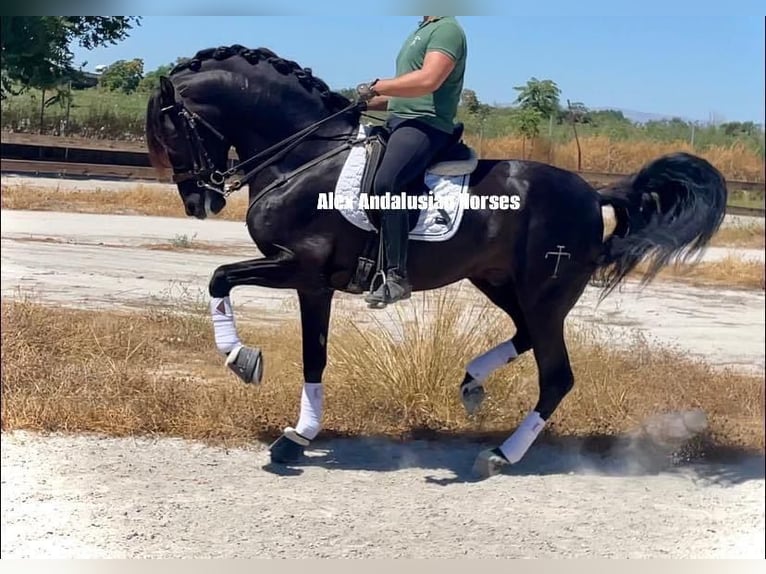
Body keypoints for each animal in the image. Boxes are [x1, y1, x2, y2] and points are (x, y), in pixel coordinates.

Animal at [147, 45, 728, 480]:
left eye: (173, 130)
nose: (199, 202)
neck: (302, 158)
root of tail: (593, 194)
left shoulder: (300, 268)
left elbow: (219, 278)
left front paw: (241, 360)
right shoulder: (313, 284)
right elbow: (313, 357)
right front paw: (298, 436)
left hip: (542, 293)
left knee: (556, 375)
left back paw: (500, 454)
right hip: (500, 282)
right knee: (527, 337)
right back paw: (472, 381)